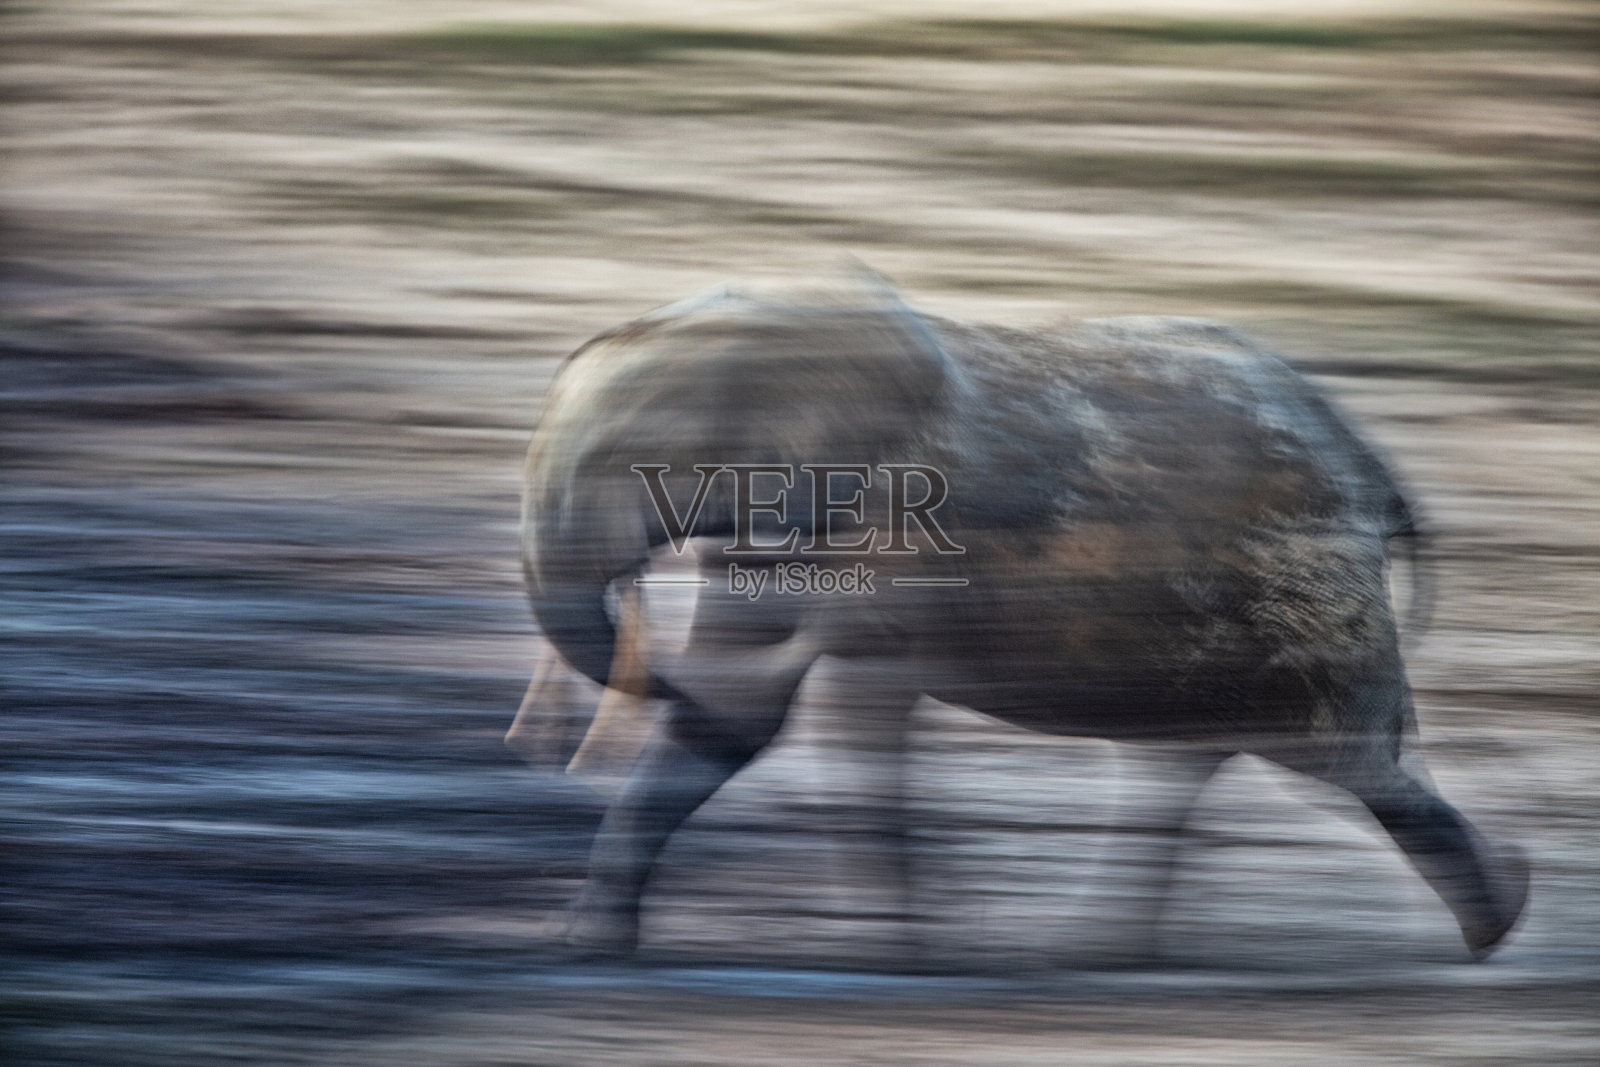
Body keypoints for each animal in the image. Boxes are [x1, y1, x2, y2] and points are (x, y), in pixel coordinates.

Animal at [519, 275, 1529, 963]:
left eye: (627, 462)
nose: (548, 744)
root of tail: (1380, 476)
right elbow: (735, 715)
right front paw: (587, 946)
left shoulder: (897, 532)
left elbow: (847, 700)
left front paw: (895, 957)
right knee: (1192, 764)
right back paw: (1092, 952)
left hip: (1307, 596)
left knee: (1354, 766)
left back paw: (1496, 924)